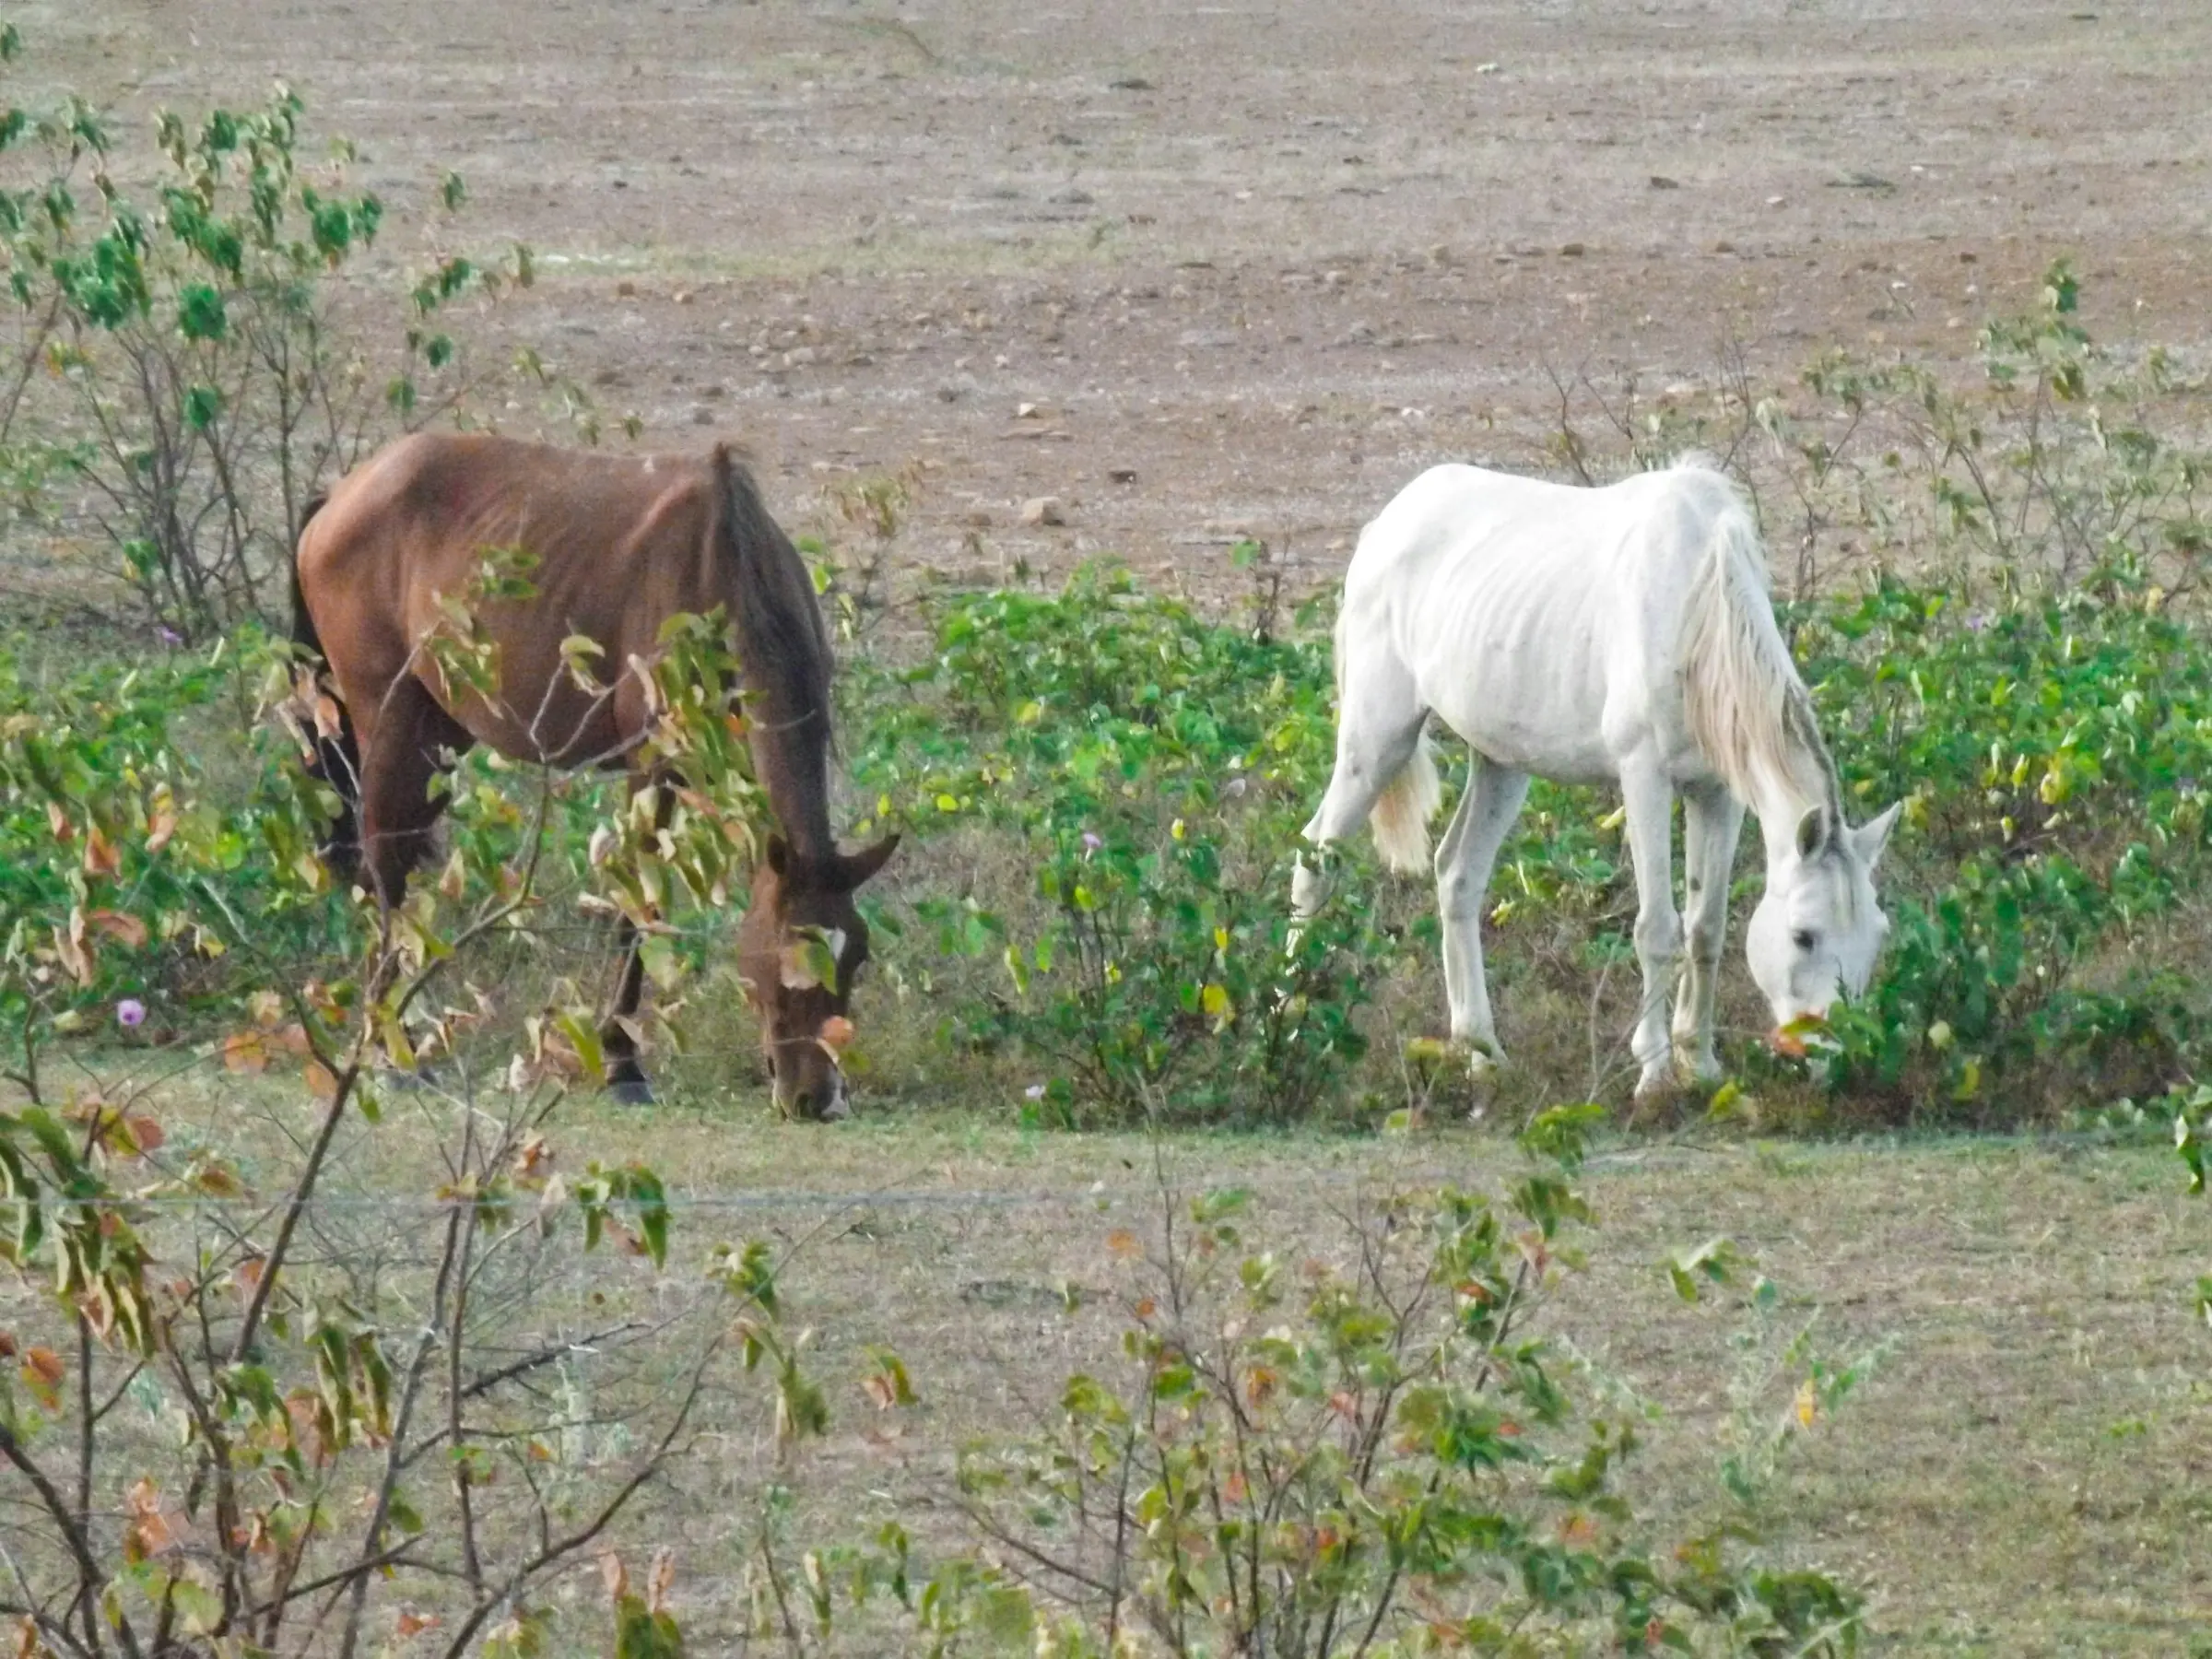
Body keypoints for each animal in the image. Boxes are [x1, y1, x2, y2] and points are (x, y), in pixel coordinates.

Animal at [291, 435, 898, 1124]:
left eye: (857, 957)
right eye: (786, 958)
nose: (817, 1097)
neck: (725, 573)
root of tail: (341, 495)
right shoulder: (653, 764)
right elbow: (639, 902)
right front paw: (621, 1063)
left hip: (436, 734)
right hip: (389, 723)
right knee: (384, 868)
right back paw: (393, 1051)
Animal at [1291, 457, 1902, 1106]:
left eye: (1878, 935)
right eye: (1804, 936)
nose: (1834, 1061)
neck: (1696, 610)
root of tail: (1388, 522)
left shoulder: (1719, 794)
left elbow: (1706, 928)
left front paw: (1700, 1064)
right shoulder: (1644, 776)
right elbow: (1658, 928)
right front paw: (1654, 1074)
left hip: (1502, 763)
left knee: (1457, 876)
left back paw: (1481, 1051)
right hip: (1375, 742)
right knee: (1315, 862)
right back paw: (1290, 1018)